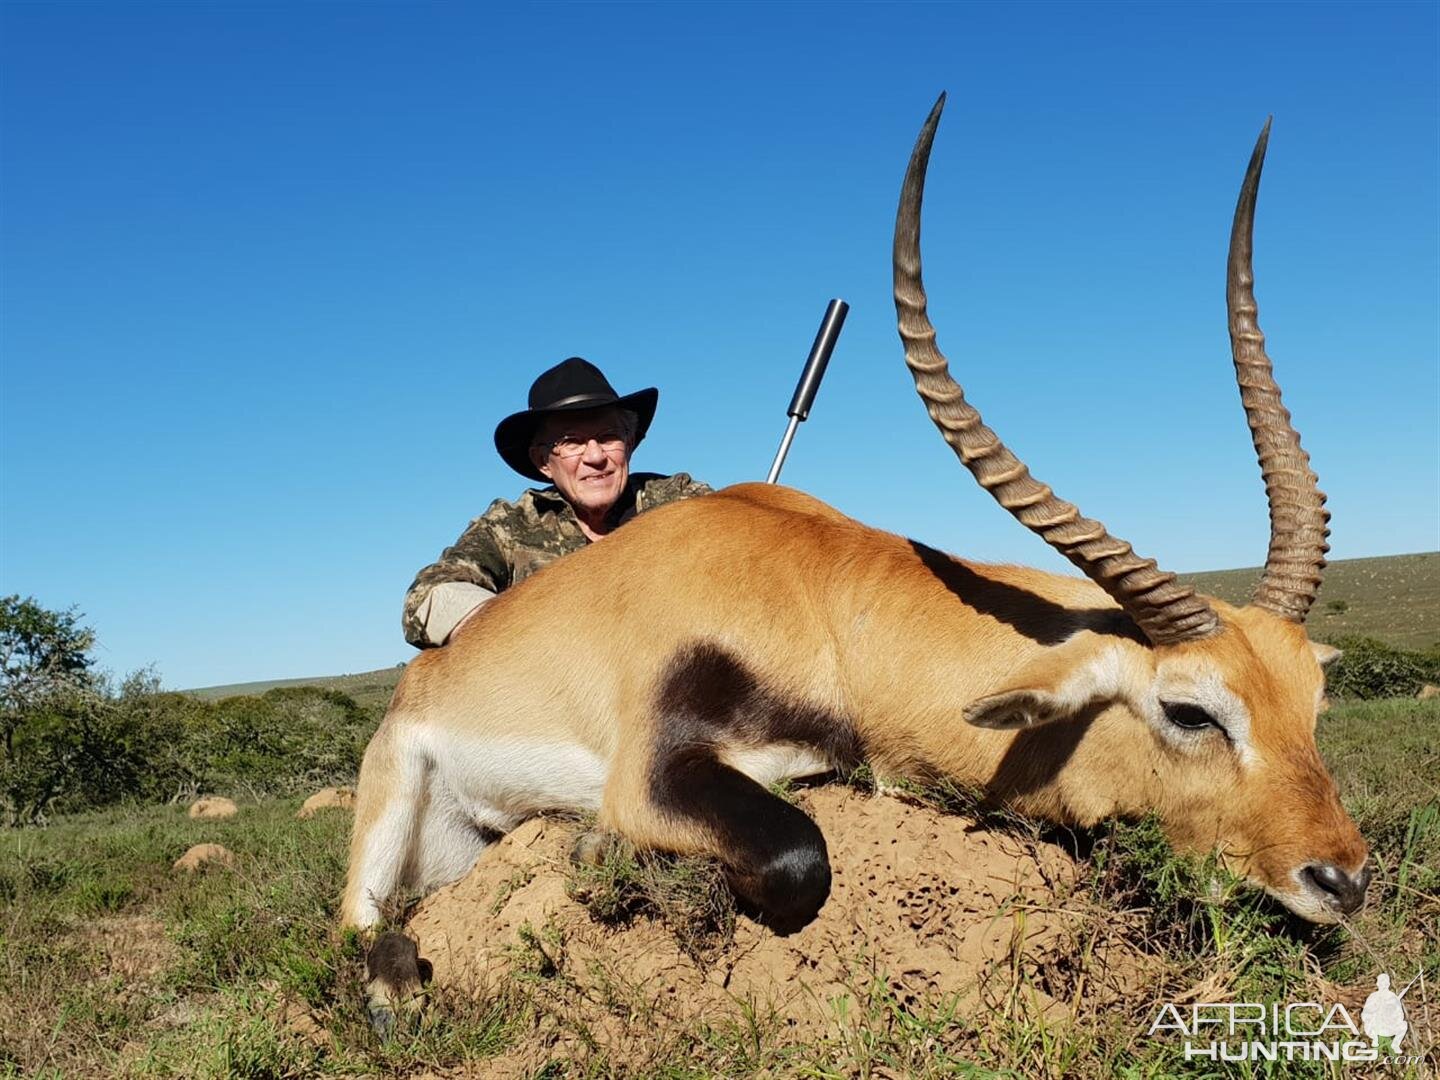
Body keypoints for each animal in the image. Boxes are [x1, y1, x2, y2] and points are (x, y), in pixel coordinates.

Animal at [342, 101, 1365, 956]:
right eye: (1191, 710)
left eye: (1313, 700)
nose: (1342, 878)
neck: (821, 599)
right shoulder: (651, 778)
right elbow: (799, 857)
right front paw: (595, 850)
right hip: (390, 834)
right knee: (359, 938)